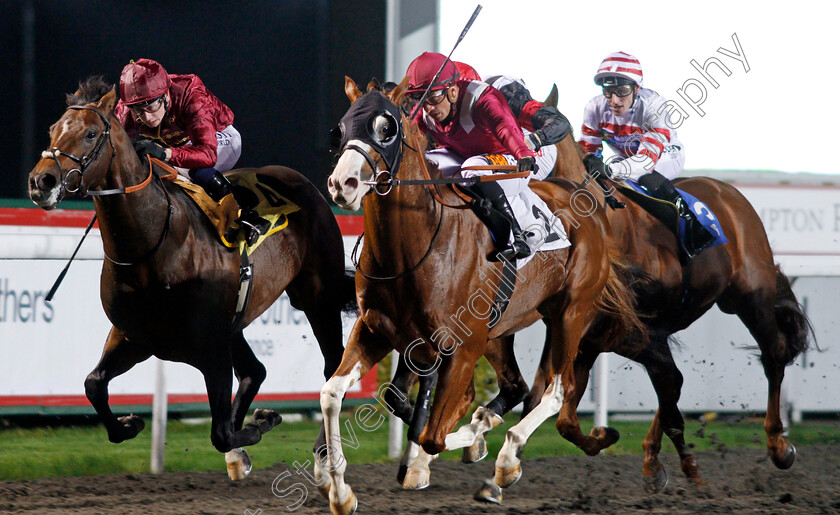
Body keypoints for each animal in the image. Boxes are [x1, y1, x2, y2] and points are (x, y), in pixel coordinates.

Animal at [27, 77, 352, 480]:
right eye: (53, 130)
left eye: (89, 134)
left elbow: (221, 434)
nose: (41, 181)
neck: (152, 245)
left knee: (331, 367)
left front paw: (260, 424)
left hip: (317, 297)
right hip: (236, 322)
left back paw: (324, 451)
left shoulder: (211, 349)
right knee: (255, 371)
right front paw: (130, 423)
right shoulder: (135, 336)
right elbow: (93, 384)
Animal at [316, 77, 644, 515]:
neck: (417, 246)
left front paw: (444, 451)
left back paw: (503, 460)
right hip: (500, 329)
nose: (343, 184)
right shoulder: (376, 330)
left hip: (571, 313)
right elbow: (333, 394)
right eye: (341, 129)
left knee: (556, 391)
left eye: (387, 129)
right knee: (519, 387)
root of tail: (579, 198)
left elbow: (432, 435)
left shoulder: (461, 346)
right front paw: (340, 490)